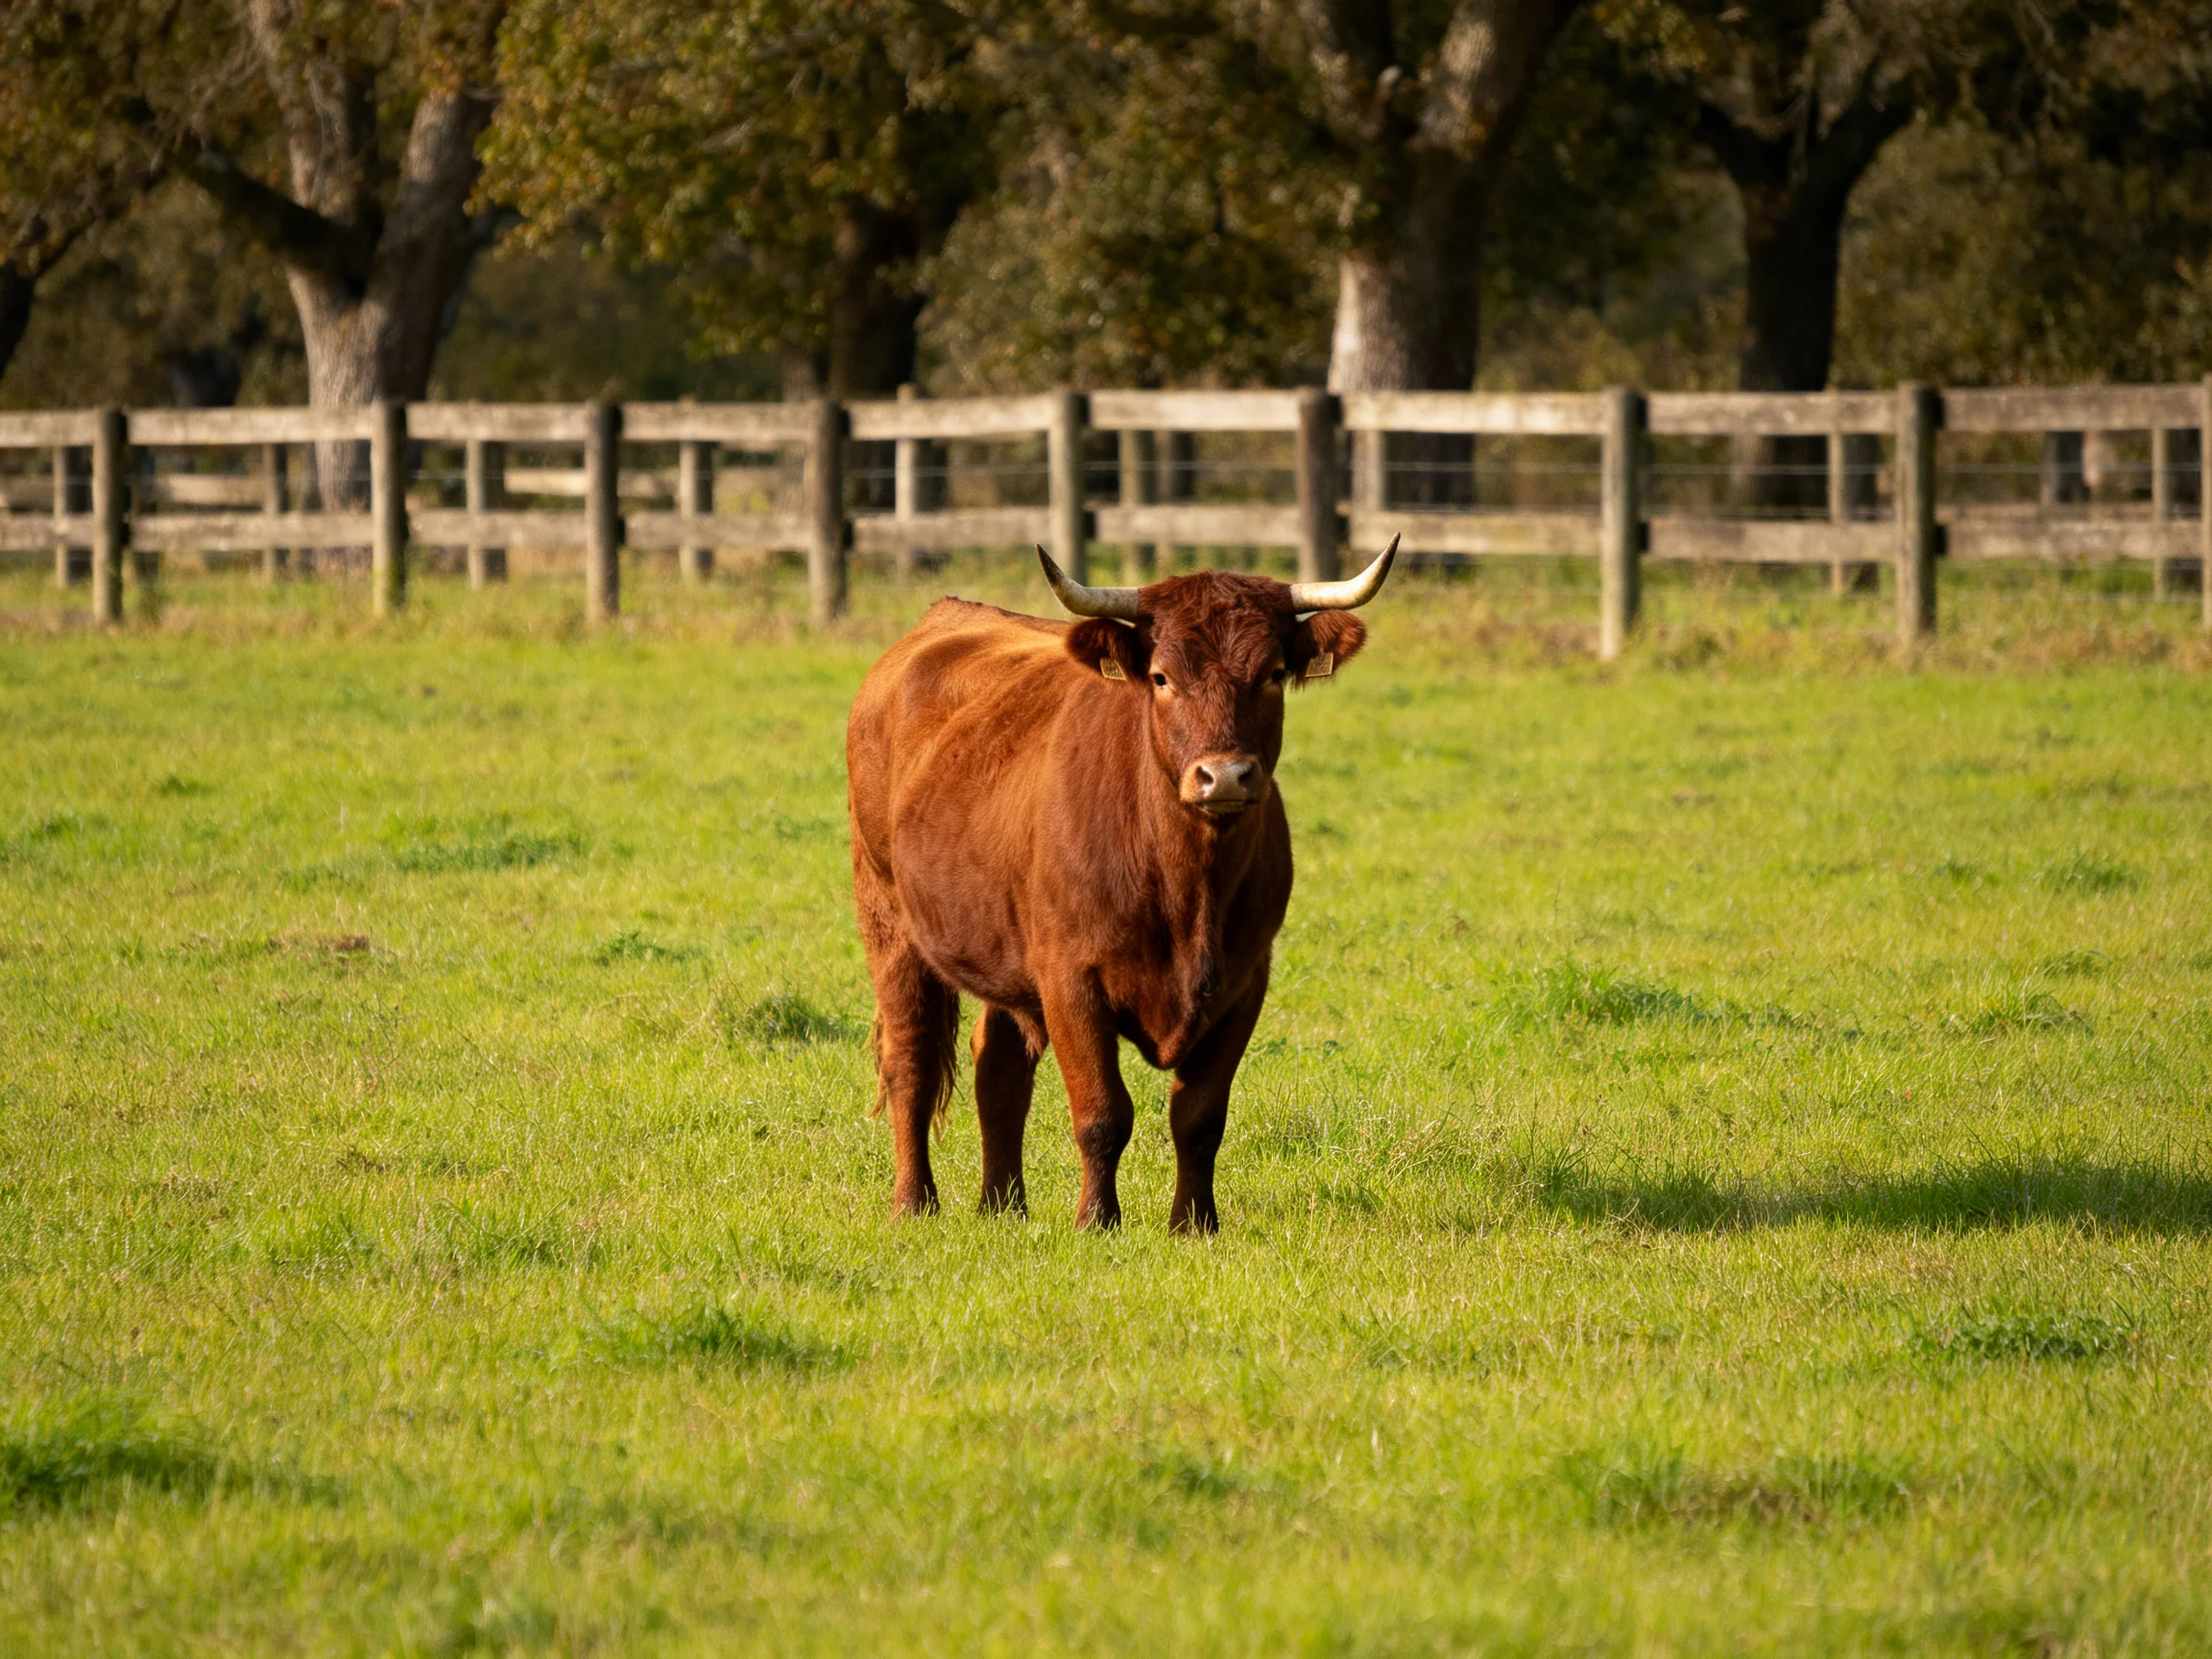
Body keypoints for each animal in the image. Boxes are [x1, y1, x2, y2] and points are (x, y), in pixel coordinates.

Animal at [844, 537, 1398, 1231]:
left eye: (1273, 673)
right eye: (1161, 678)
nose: (1224, 776)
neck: (1188, 888)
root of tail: (941, 618)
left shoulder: (1246, 981)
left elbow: (1199, 1118)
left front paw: (1194, 1225)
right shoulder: (1071, 978)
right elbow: (1103, 1112)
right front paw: (1097, 1221)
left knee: (997, 1064)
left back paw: (1003, 1205)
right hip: (887, 914)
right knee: (910, 1058)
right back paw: (914, 1202)